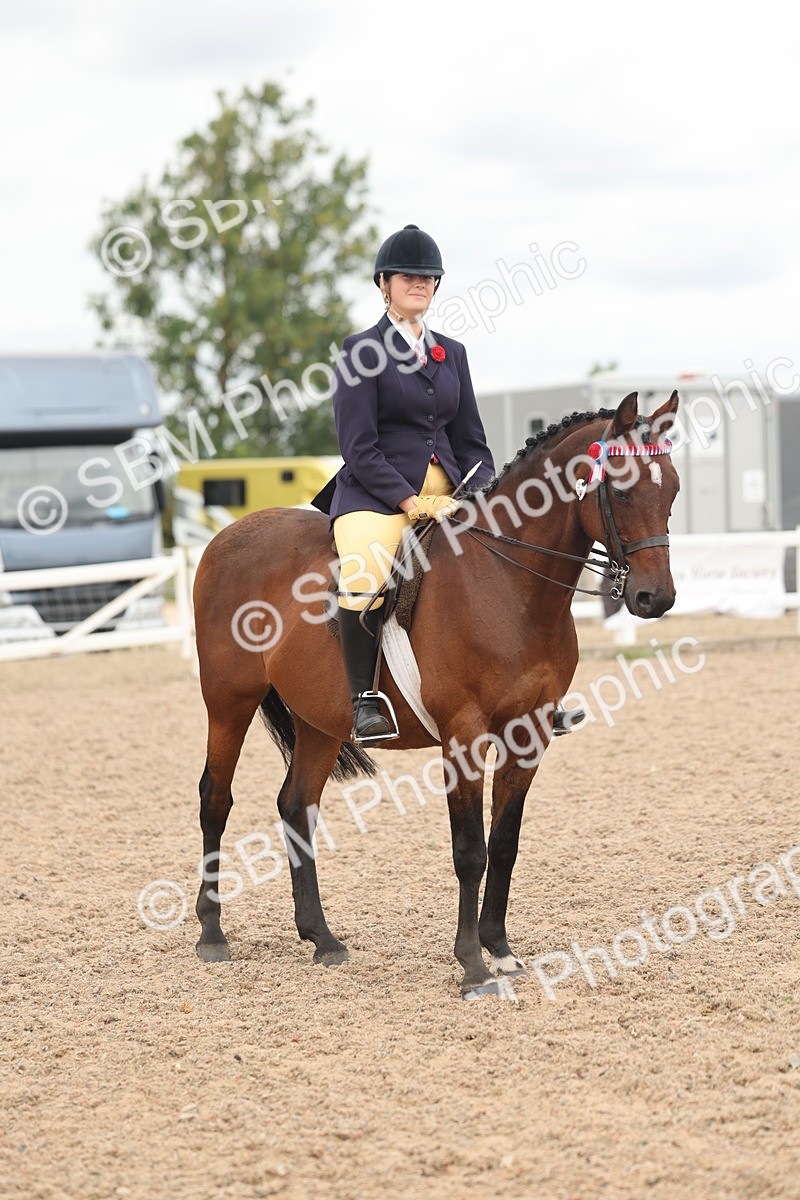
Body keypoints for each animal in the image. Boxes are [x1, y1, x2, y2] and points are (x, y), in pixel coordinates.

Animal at [192, 390, 680, 998]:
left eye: (673, 489)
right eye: (622, 489)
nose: (655, 598)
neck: (510, 586)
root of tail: (226, 536)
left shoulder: (529, 733)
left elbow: (506, 842)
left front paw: (501, 950)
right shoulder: (464, 734)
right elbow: (470, 850)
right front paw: (473, 965)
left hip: (320, 720)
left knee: (296, 806)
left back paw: (322, 939)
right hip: (228, 701)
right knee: (216, 799)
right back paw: (212, 934)